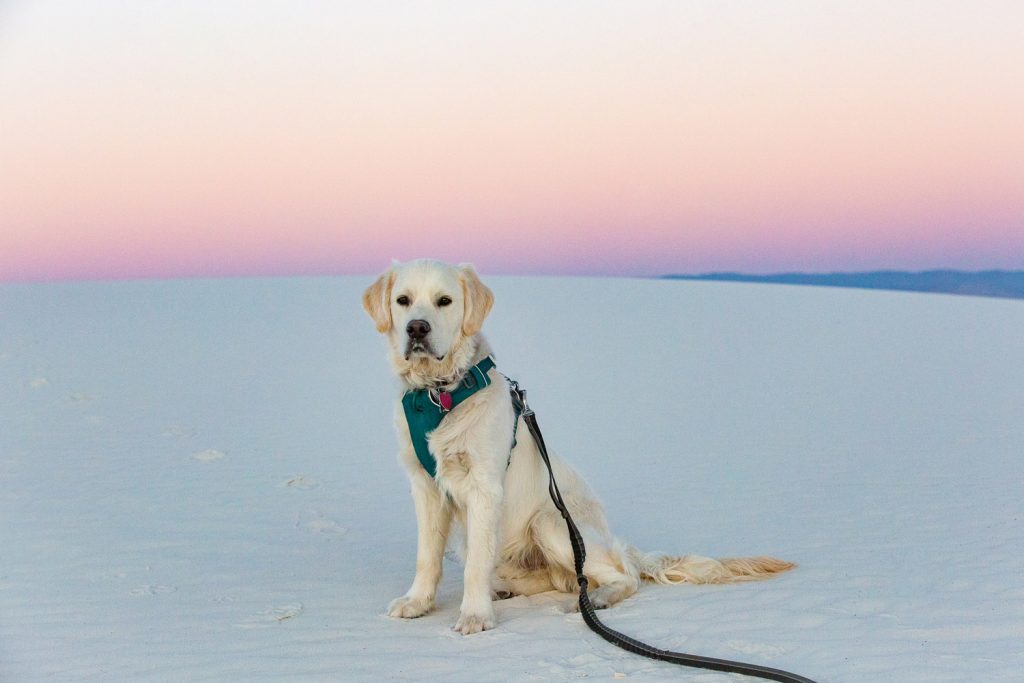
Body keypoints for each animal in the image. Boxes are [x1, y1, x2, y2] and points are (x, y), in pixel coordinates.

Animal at [364, 259, 794, 634]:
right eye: (403, 301)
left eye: (444, 301)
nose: (417, 329)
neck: (440, 395)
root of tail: (624, 546)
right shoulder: (425, 486)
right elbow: (427, 556)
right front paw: (417, 602)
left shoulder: (484, 487)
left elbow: (475, 566)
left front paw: (474, 616)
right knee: (558, 578)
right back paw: (507, 589)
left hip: (552, 521)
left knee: (622, 576)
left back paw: (597, 599)